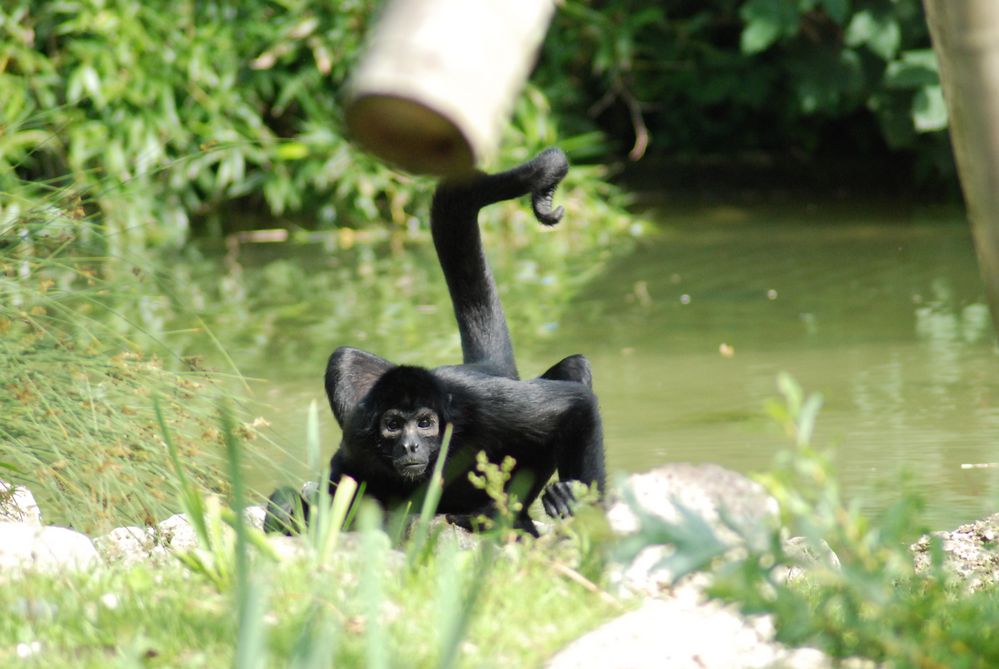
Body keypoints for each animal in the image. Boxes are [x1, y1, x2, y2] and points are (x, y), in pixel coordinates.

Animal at [266, 149, 604, 536]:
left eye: (425, 423)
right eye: (393, 426)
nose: (410, 444)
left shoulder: (484, 405)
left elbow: (577, 406)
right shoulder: (358, 438)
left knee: (575, 368)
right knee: (343, 357)